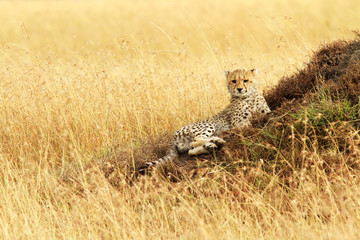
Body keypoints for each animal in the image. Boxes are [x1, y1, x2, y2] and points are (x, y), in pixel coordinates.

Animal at [139, 68, 270, 173]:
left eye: (245, 80)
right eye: (233, 81)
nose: (239, 89)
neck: (249, 97)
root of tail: (173, 137)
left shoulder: (265, 112)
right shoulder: (237, 124)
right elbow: (247, 124)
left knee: (191, 151)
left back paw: (211, 145)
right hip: (209, 125)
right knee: (196, 140)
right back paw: (216, 140)